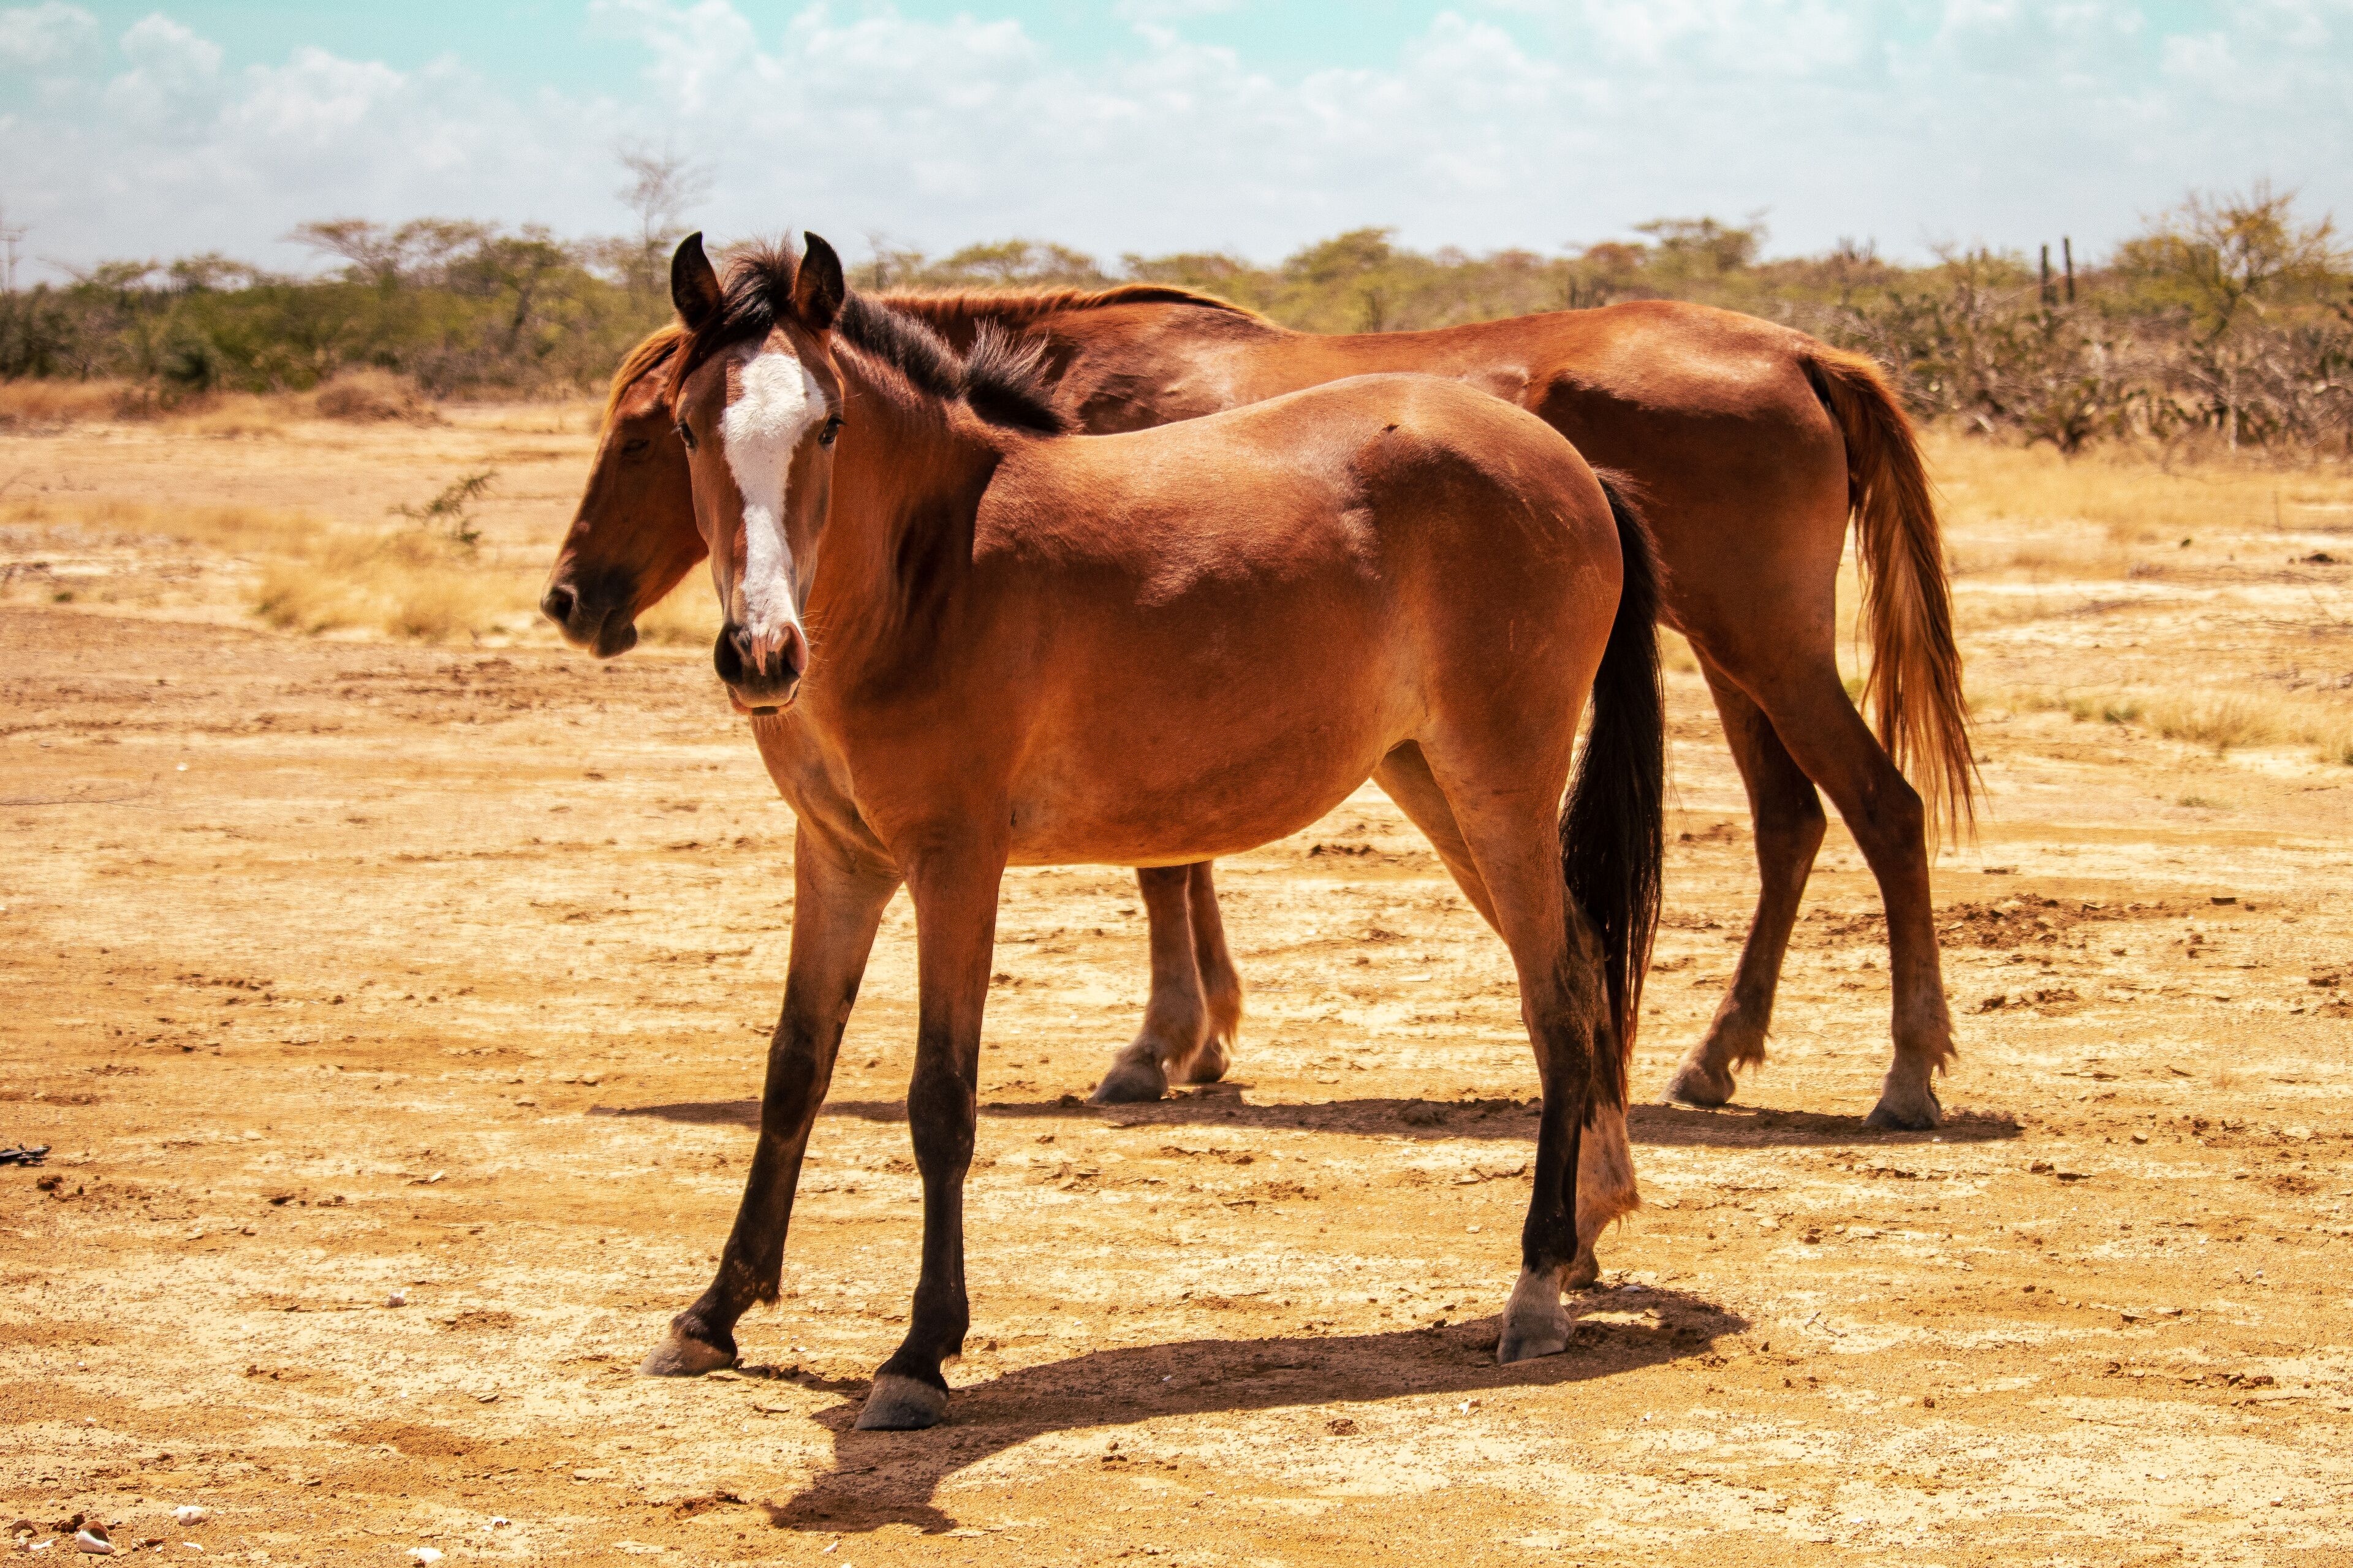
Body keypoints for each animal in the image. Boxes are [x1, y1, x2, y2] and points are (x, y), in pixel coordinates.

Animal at [543, 258, 1970, 1133]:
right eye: (677, 428)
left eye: (641, 431)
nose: (568, 596)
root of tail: (1806, 350)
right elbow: (1182, 852)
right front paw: (1205, 1032)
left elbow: (1163, 868)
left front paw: (1163, 1041)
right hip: (1734, 656)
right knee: (1793, 823)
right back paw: (1718, 1055)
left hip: (1766, 649)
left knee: (1883, 809)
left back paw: (1908, 1071)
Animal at [636, 232, 1664, 1429]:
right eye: (688, 426)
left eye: (828, 424)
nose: (761, 652)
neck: (931, 573)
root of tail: (1574, 468)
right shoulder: (838, 860)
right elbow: (794, 1069)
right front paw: (713, 1312)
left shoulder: (955, 863)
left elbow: (941, 1096)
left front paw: (919, 1354)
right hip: (1435, 783)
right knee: (1585, 973)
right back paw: (1588, 1229)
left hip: (1499, 785)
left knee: (1555, 1002)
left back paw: (1536, 1284)